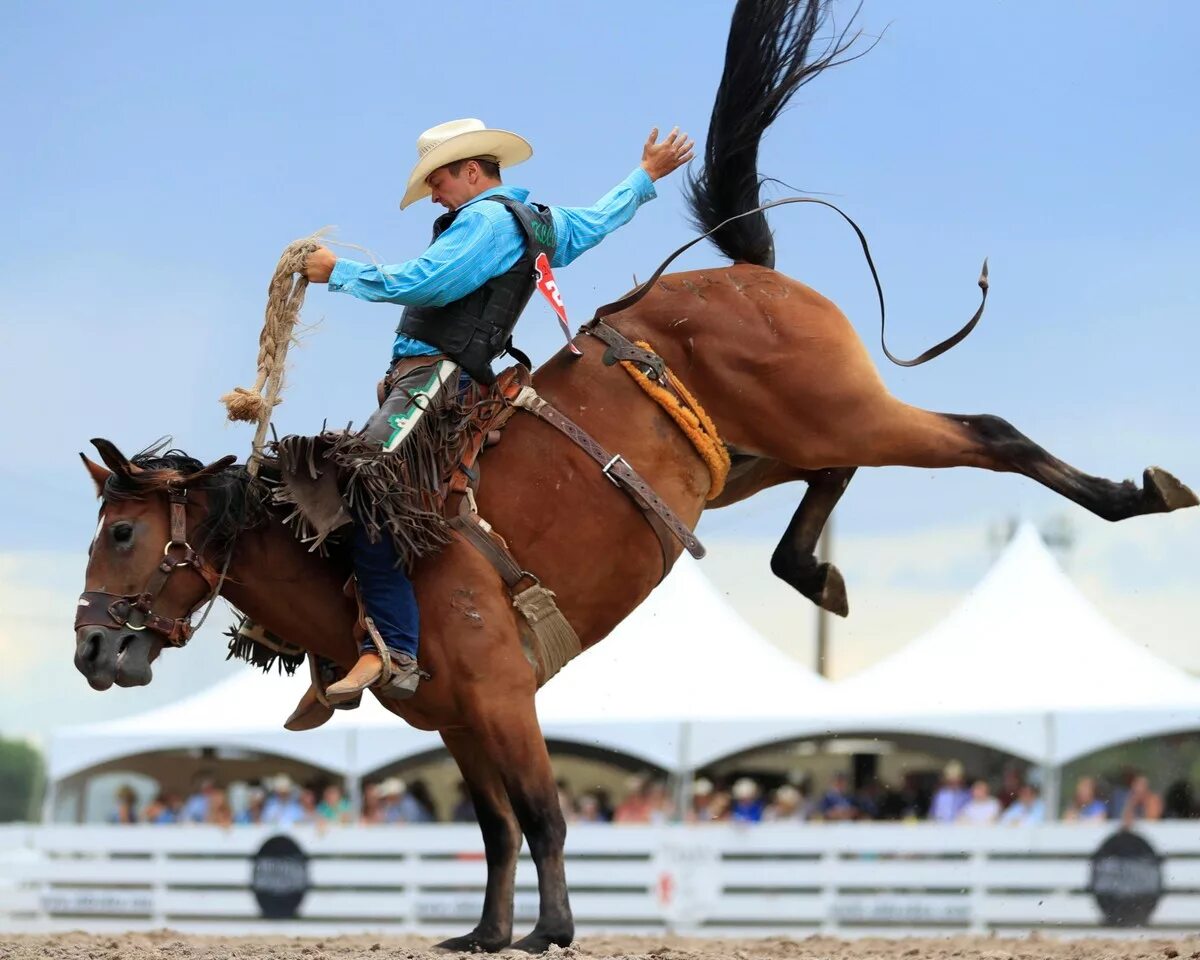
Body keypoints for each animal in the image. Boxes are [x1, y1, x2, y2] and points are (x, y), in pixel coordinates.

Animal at [77, 1, 1200, 950]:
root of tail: (742, 271)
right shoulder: (456, 719)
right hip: (757, 455)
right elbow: (493, 829)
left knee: (987, 430)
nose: (91, 648)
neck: (350, 563)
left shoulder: (502, 696)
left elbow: (541, 814)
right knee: (835, 476)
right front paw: (486, 933)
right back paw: (816, 572)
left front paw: (551, 930)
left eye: (124, 533)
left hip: (848, 408)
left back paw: (1140, 491)